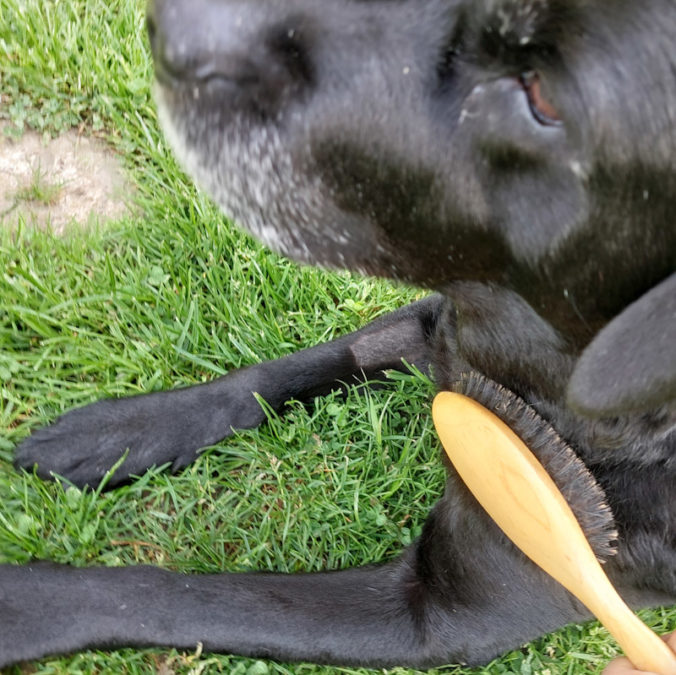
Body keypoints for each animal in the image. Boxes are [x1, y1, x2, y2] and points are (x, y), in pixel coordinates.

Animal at [1, 0, 676, 668]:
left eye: (543, 98)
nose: (171, 31)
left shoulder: (443, 611)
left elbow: (184, 597)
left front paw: (29, 605)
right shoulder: (437, 324)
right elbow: (287, 370)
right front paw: (115, 433)